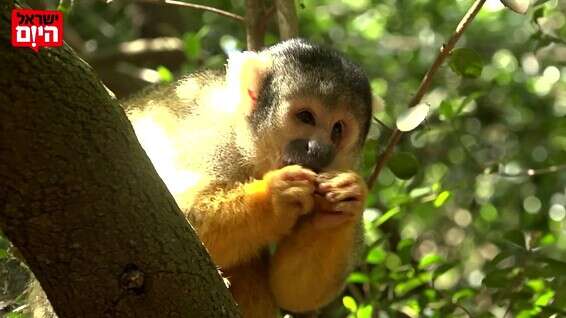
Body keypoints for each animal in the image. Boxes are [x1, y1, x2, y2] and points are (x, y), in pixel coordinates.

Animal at [32, 39, 378, 318]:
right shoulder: (211, 137)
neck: (249, 147)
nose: (318, 149)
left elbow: (294, 291)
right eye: (306, 117)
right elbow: (163, 221)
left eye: (337, 130)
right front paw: (278, 195)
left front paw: (343, 200)